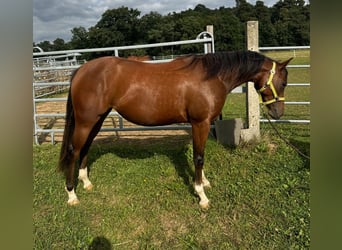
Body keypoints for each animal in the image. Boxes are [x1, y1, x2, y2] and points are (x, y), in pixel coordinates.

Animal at [58, 49, 292, 208]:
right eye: (283, 83)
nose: (278, 113)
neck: (211, 76)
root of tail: (81, 70)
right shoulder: (200, 123)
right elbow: (199, 157)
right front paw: (201, 195)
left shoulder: (201, 125)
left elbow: (200, 154)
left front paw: (204, 182)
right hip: (86, 121)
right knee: (73, 151)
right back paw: (71, 194)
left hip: (96, 120)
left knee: (86, 148)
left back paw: (86, 182)